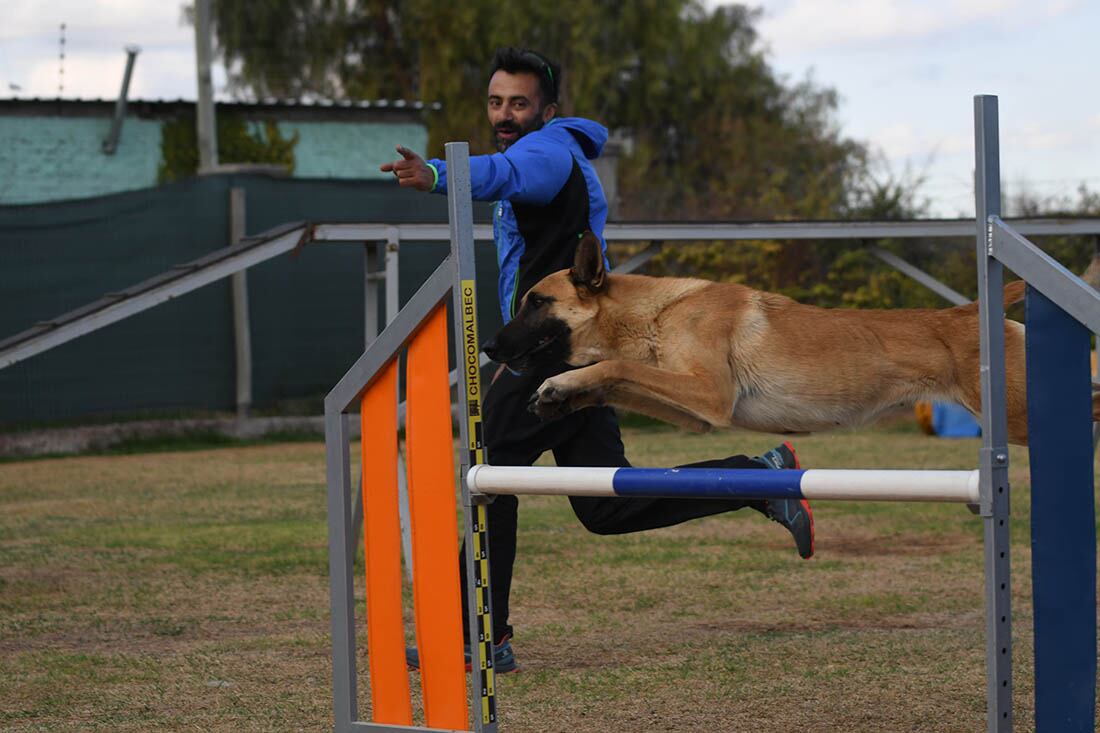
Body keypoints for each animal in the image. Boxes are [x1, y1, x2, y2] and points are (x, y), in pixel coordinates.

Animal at [481, 231, 1100, 444]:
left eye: (536, 302)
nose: (487, 348)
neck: (659, 311)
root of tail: (974, 309)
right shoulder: (696, 411)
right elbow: (614, 381)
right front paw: (560, 395)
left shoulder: (710, 394)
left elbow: (616, 368)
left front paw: (563, 384)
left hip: (1020, 415)